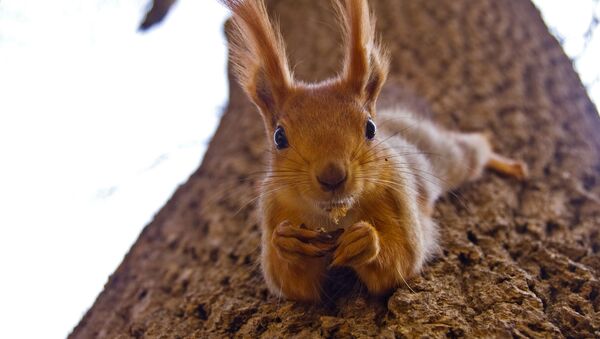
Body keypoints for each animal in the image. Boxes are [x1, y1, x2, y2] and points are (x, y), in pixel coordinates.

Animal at [219, 0, 524, 302]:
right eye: (279, 137)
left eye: (370, 128)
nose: (332, 177)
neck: (332, 214)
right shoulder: (274, 209)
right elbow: (291, 284)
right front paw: (287, 242)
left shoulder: (398, 197)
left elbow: (402, 261)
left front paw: (365, 241)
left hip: (447, 156)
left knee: (472, 151)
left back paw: (507, 164)